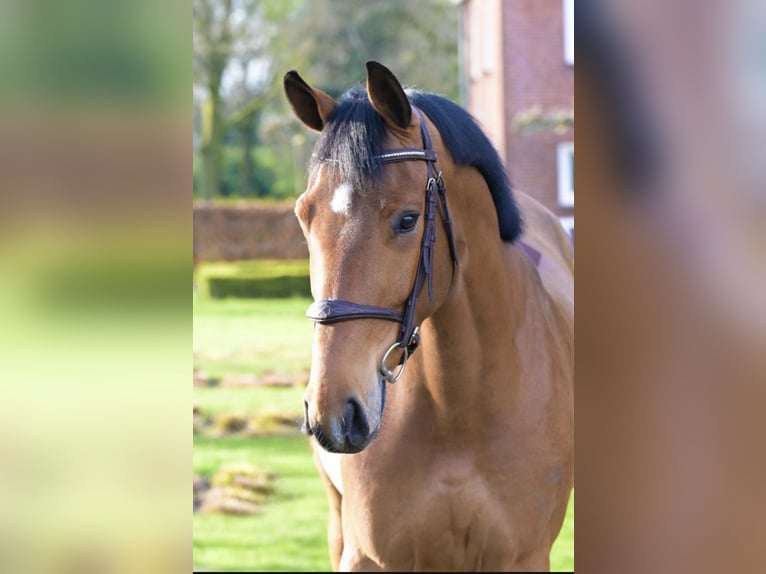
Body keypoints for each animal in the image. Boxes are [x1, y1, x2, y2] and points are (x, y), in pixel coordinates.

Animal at [284, 60, 572, 572]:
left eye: (407, 219)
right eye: (304, 216)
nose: (334, 412)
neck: (459, 408)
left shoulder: (524, 557)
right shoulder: (366, 556)